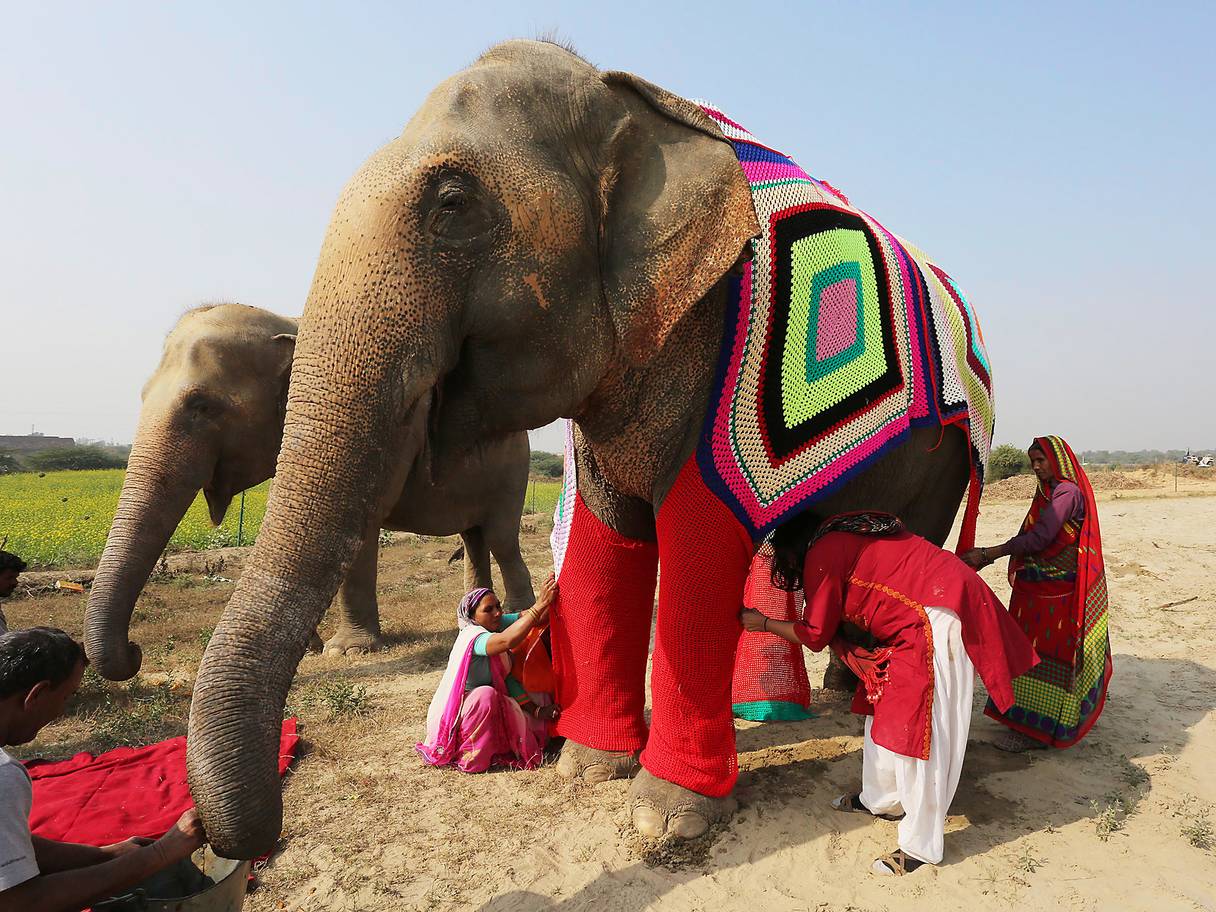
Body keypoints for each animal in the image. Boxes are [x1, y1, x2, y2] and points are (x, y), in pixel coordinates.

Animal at [84, 302, 533, 680]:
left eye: (203, 405)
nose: (135, 651)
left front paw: (347, 651)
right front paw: (313, 648)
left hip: (514, 472)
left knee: (500, 537)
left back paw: (516, 611)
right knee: (473, 536)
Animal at [185, 40, 990, 858]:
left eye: (452, 203)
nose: (234, 840)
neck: (625, 103)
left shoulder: (715, 343)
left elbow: (698, 537)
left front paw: (667, 818)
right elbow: (610, 535)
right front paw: (589, 767)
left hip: (949, 459)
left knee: (914, 536)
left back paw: (856, 703)